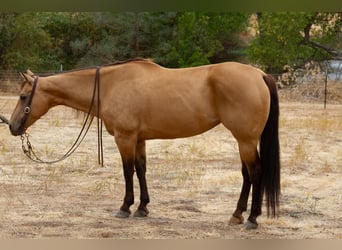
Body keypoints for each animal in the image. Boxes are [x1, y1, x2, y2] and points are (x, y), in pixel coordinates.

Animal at [9, 58, 280, 229]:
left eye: (23, 96)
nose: (12, 126)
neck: (111, 85)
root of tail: (259, 75)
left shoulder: (125, 138)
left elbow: (127, 171)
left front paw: (125, 207)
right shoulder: (139, 140)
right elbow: (141, 170)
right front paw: (142, 208)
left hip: (245, 140)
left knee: (255, 173)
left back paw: (251, 219)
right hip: (243, 141)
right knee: (246, 175)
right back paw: (237, 215)